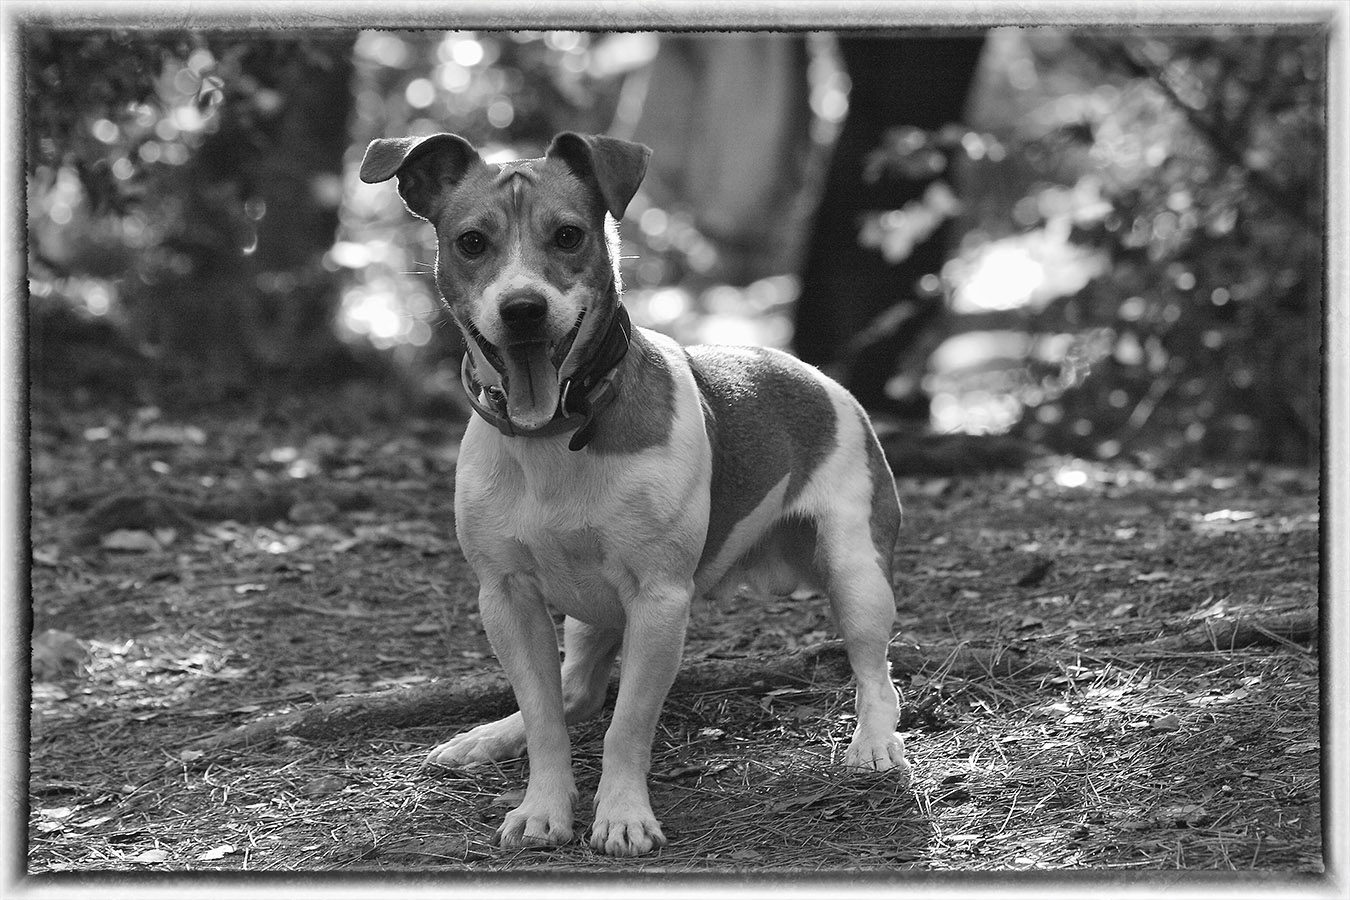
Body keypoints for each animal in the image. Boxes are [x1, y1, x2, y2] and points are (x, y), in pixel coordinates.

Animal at [359, 130, 912, 858]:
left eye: (568, 235)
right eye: (471, 242)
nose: (523, 309)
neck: (558, 434)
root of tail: (817, 376)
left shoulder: (659, 601)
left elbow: (628, 726)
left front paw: (622, 814)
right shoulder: (506, 597)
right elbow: (546, 715)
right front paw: (543, 806)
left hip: (855, 568)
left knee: (874, 667)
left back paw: (875, 743)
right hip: (589, 612)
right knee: (576, 690)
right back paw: (487, 736)